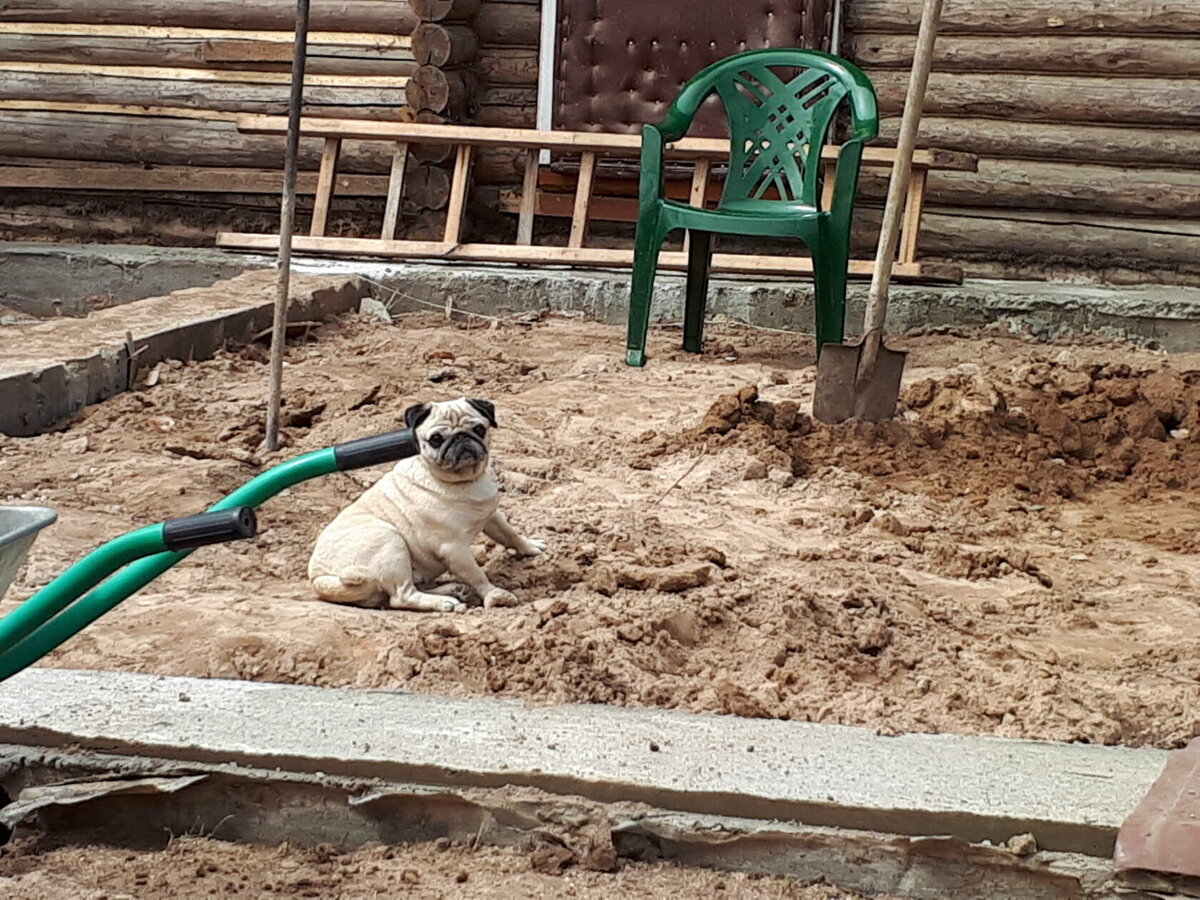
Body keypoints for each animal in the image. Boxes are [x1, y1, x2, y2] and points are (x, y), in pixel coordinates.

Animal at [307, 400, 547, 614]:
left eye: (479, 429)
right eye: (436, 439)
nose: (461, 437)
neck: (464, 481)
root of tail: (317, 578)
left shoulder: (492, 516)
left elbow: (510, 534)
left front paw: (531, 548)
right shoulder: (454, 549)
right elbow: (477, 575)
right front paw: (494, 594)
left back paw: (452, 589)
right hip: (389, 541)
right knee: (402, 596)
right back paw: (443, 602)